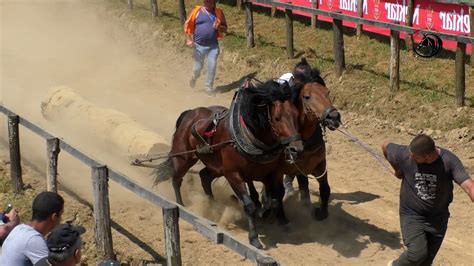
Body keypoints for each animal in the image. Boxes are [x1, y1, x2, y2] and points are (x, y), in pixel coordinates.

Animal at [154, 80, 306, 248]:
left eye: (296, 115)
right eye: (277, 118)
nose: (296, 149)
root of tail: (190, 113)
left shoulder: (271, 173)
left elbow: (275, 198)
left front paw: (272, 217)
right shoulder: (233, 174)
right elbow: (249, 204)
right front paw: (254, 238)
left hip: (216, 167)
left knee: (204, 176)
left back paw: (213, 206)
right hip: (184, 158)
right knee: (177, 179)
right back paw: (182, 205)